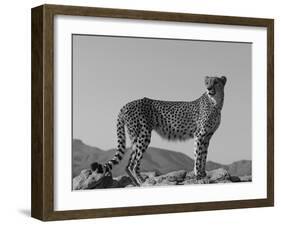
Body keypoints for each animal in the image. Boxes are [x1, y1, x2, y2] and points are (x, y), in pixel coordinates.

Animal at [91, 76, 226, 185]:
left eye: (216, 82)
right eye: (207, 82)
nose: (209, 88)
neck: (215, 103)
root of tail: (128, 104)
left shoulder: (207, 136)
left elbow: (203, 155)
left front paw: (203, 174)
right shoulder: (200, 135)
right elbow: (198, 156)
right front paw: (199, 176)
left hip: (135, 137)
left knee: (129, 163)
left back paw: (136, 183)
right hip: (143, 135)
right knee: (134, 163)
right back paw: (142, 181)